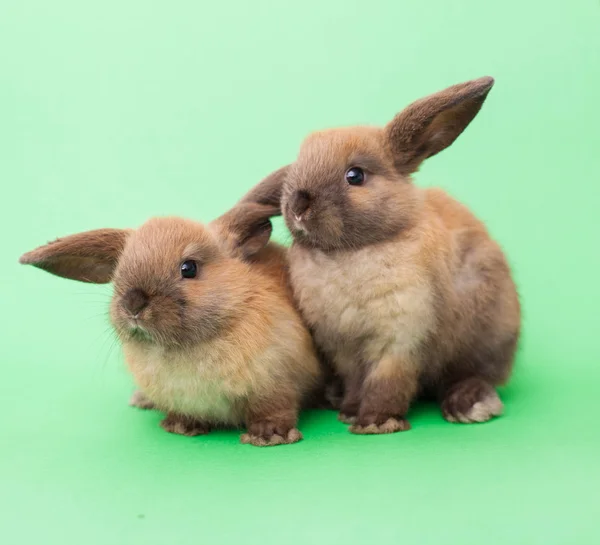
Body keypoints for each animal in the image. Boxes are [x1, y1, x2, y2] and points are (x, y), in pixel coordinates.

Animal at [18, 202, 324, 444]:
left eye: (189, 268)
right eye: (119, 271)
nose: (133, 304)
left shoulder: (277, 384)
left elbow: (274, 409)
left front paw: (270, 436)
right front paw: (180, 426)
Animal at [239, 76, 520, 434]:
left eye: (355, 175)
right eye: (295, 170)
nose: (298, 205)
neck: (350, 251)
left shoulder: (400, 339)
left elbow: (386, 382)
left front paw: (375, 422)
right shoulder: (343, 346)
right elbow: (357, 380)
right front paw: (350, 411)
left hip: (487, 337)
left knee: (477, 375)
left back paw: (469, 404)